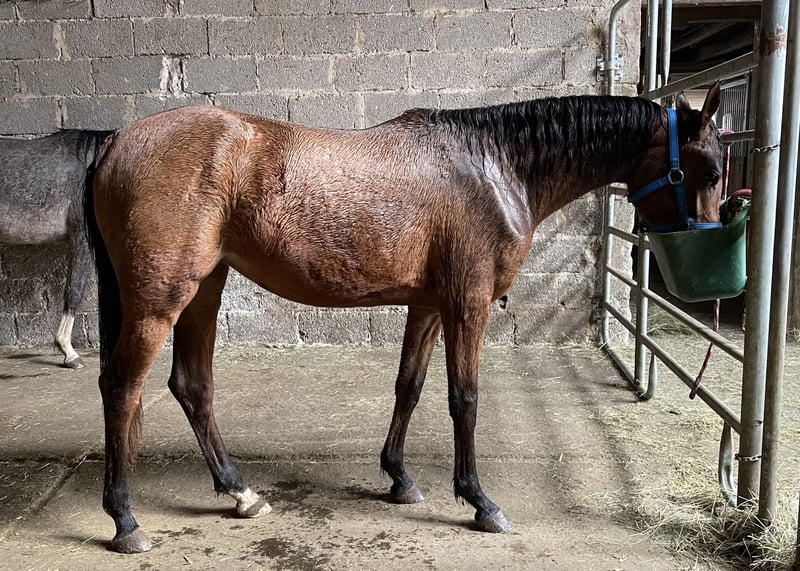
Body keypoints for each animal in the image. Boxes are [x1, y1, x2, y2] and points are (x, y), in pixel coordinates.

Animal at [84, 83, 723, 553]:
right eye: (711, 172)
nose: (708, 253)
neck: (493, 166)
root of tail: (116, 142)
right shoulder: (468, 303)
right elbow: (464, 398)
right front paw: (480, 502)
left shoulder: (430, 305)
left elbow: (409, 387)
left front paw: (399, 478)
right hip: (159, 301)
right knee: (122, 387)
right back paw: (125, 521)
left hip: (204, 291)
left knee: (192, 386)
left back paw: (239, 493)